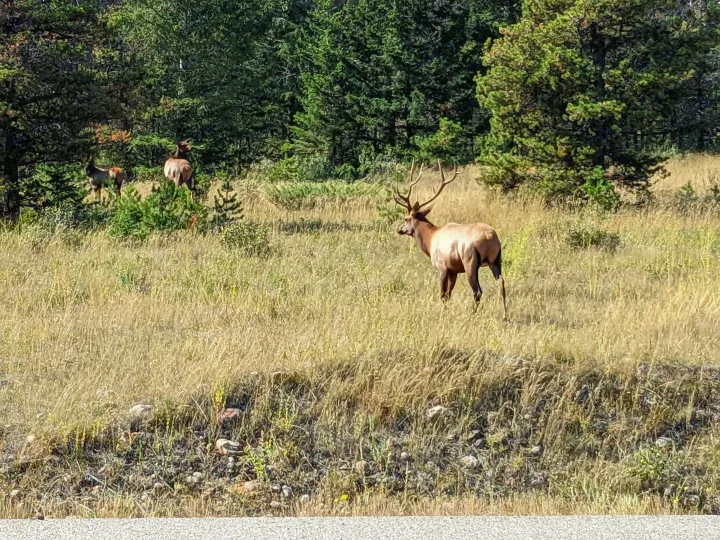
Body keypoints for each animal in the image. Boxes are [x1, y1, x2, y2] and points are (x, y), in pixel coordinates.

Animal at [394, 160, 507, 317]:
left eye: (406, 218)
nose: (400, 229)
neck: (430, 240)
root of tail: (490, 237)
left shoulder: (442, 266)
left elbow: (442, 294)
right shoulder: (454, 270)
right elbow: (448, 294)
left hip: (470, 261)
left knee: (477, 290)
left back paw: (472, 314)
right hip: (495, 259)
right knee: (501, 283)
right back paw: (505, 315)